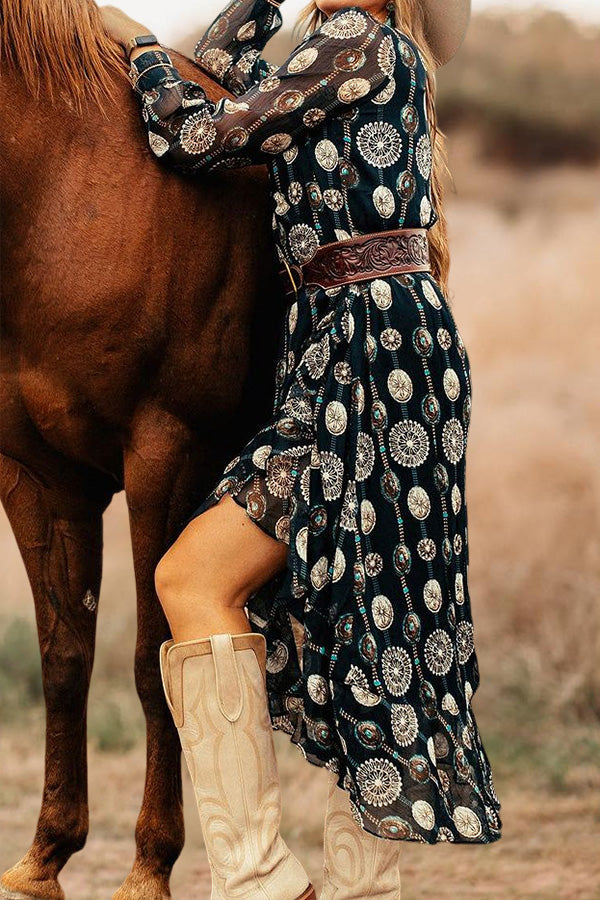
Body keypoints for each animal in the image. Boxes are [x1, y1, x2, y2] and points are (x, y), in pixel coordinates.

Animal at [1, 1, 282, 900]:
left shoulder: (165, 454)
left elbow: (152, 662)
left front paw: (151, 865)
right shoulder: (37, 476)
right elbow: (64, 657)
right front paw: (45, 854)